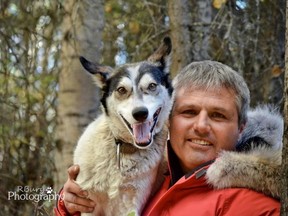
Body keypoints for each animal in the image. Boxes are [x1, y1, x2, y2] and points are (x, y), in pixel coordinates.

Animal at [73, 36, 173, 215]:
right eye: (121, 89)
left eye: (152, 86)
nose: (140, 113)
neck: (123, 149)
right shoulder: (88, 204)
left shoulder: (131, 203)